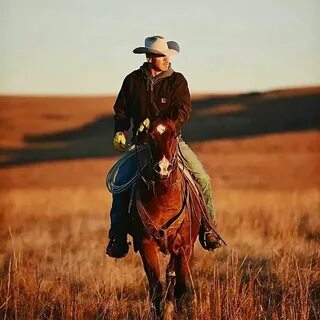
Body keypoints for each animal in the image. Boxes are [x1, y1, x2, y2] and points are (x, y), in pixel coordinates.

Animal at [129, 119, 204, 320]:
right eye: (150, 136)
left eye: (174, 135)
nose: (163, 168)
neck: (165, 199)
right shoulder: (146, 245)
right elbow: (156, 287)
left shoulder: (184, 248)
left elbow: (180, 287)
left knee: (172, 276)